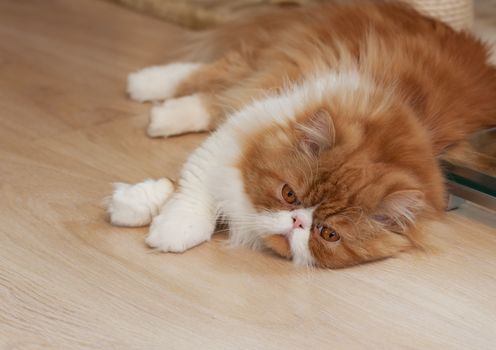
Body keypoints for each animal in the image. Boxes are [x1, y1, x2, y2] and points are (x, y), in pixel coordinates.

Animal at [108, 0, 496, 268]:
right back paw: (147, 88)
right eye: (289, 195)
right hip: (275, 62)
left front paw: (146, 215)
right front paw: (158, 220)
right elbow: (193, 188)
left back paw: (160, 110)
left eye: (328, 234)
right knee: (211, 75)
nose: (297, 221)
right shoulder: (253, 118)